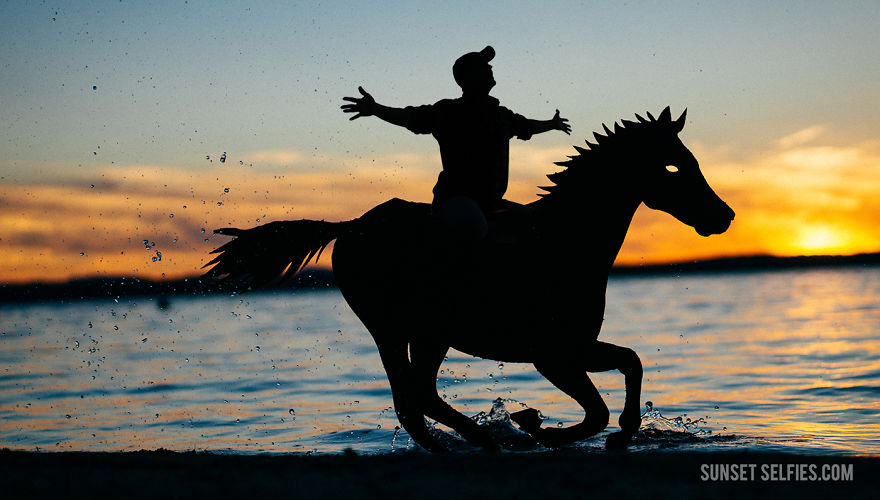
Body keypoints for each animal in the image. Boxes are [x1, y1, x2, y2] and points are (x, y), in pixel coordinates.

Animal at [203, 106, 735, 451]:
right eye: (674, 165)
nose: (725, 216)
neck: (563, 241)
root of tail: (352, 225)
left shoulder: (576, 347)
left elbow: (631, 363)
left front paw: (617, 431)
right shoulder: (552, 354)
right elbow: (599, 407)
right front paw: (536, 425)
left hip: (417, 333)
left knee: (414, 399)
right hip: (402, 329)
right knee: (415, 397)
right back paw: (483, 439)